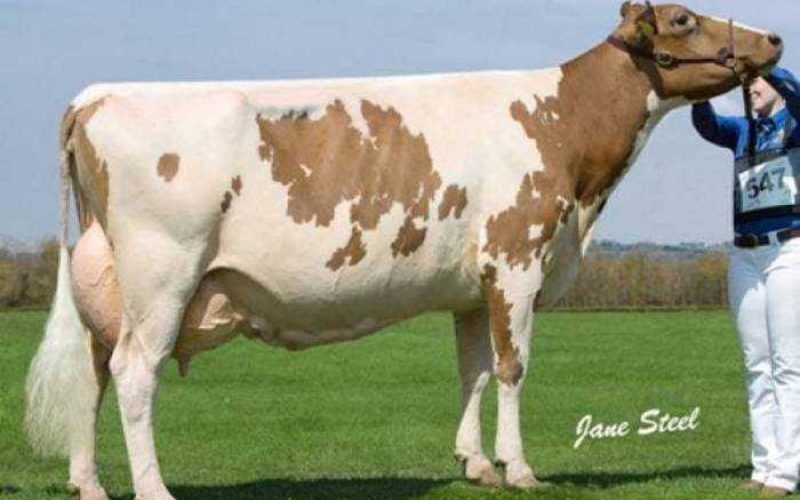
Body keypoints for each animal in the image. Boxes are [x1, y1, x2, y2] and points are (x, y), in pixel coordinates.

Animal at [25, 3, 782, 499]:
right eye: (683, 19)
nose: (774, 37)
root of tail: (98, 96)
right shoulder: (516, 261)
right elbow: (513, 369)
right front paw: (520, 468)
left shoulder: (473, 285)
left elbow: (473, 371)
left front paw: (476, 464)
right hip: (162, 273)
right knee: (133, 374)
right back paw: (152, 489)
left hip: (110, 285)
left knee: (92, 373)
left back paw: (88, 484)